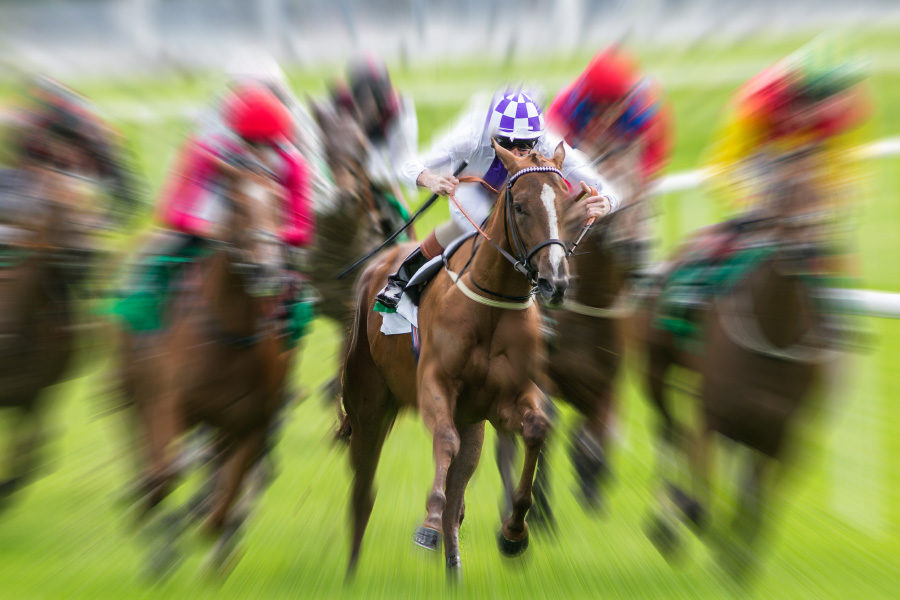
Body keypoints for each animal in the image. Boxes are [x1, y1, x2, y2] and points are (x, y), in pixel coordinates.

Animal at [121, 157, 292, 576]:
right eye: (236, 204)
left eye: (279, 203)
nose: (266, 270)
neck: (230, 335)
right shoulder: (170, 403)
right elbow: (166, 473)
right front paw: (161, 540)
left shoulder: (251, 422)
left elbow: (227, 496)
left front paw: (214, 539)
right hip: (130, 385)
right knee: (137, 440)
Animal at [340, 143, 584, 576]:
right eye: (519, 206)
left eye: (565, 204)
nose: (555, 283)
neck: (492, 302)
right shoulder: (435, 384)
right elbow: (444, 442)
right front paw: (428, 525)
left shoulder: (502, 400)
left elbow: (536, 430)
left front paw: (514, 533)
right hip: (367, 405)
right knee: (363, 489)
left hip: (471, 422)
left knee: (458, 486)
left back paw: (453, 561)